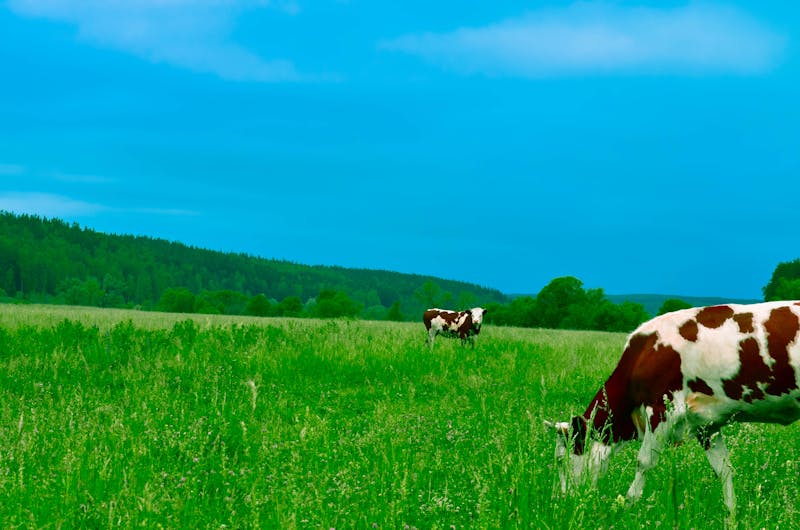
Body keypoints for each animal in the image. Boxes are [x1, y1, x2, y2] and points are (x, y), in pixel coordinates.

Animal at [546, 301, 800, 515]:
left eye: (561, 459)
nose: (561, 501)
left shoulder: (661, 410)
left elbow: (643, 462)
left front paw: (627, 508)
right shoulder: (707, 424)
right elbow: (723, 469)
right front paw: (731, 516)